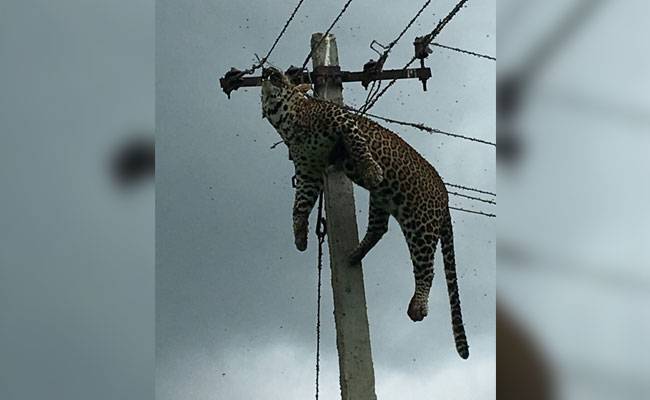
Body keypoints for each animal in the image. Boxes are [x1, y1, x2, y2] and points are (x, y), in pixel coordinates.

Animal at [258, 66, 466, 360]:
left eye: (281, 76)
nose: (269, 70)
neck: (288, 120)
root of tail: (445, 196)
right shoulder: (309, 171)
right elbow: (299, 206)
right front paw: (300, 237)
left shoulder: (342, 120)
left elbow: (359, 145)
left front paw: (372, 170)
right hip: (382, 201)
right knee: (379, 229)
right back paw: (355, 254)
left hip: (420, 224)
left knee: (428, 268)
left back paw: (418, 307)